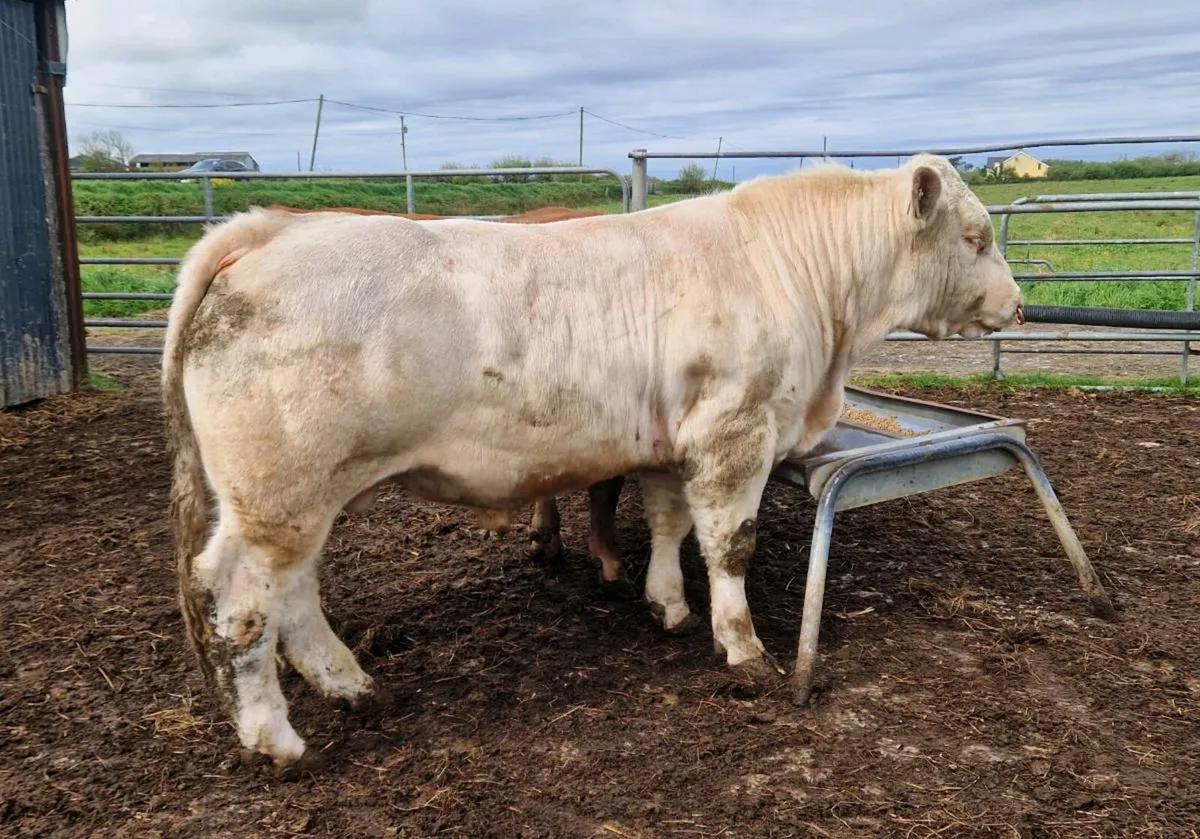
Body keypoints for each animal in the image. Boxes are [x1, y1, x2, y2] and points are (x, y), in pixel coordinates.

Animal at [163, 154, 1023, 774]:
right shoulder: (734, 429)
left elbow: (671, 523)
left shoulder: (675, 438)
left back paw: (351, 683)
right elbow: (729, 546)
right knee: (241, 598)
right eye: (976, 236)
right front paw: (742, 647)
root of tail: (274, 228)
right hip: (281, 490)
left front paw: (667, 603)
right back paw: (275, 738)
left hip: (297, 495)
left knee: (295, 591)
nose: (1017, 306)